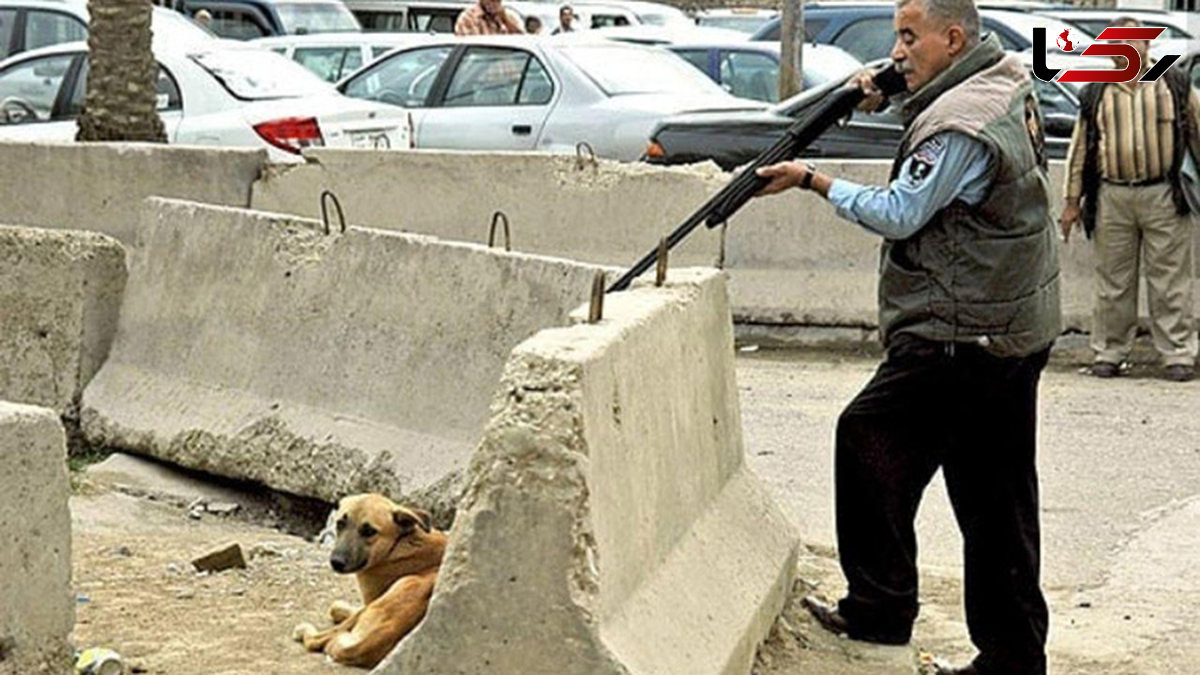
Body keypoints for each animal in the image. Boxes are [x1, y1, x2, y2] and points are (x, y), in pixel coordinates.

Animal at [292, 492, 448, 662]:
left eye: (369, 532)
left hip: (404, 582)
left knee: (316, 640)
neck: (398, 544)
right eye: (340, 523)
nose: (336, 562)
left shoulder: (370, 602)